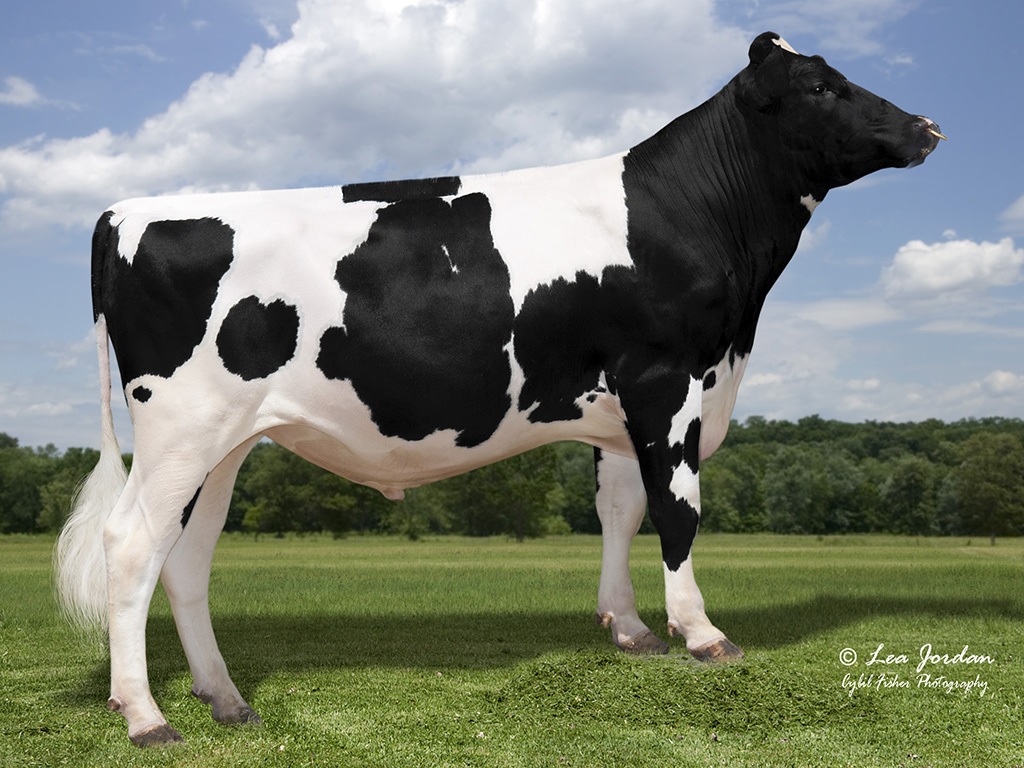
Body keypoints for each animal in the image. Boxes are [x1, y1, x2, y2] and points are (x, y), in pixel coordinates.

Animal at [55, 32, 943, 746]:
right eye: (820, 87)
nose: (927, 127)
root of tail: (124, 210)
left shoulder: (620, 405)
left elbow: (619, 509)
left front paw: (629, 629)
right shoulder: (668, 378)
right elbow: (678, 510)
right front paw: (701, 634)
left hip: (225, 444)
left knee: (185, 558)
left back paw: (226, 698)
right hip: (181, 426)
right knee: (130, 546)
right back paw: (146, 716)